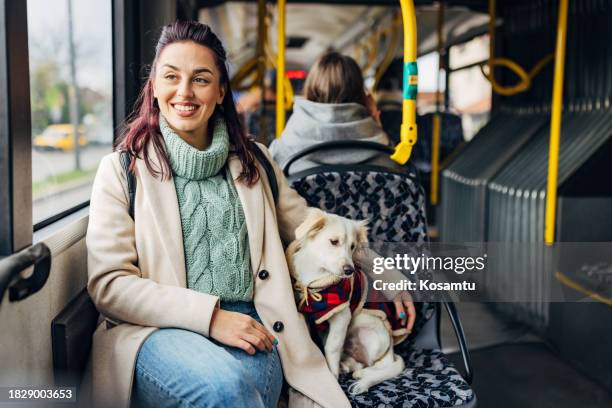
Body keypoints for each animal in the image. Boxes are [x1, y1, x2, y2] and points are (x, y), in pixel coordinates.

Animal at [284, 209, 408, 394]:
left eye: (352, 247)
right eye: (334, 242)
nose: (350, 270)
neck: (317, 277)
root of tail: (392, 350)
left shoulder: (342, 316)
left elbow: (332, 347)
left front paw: (332, 375)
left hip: (367, 330)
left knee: (377, 364)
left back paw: (362, 373)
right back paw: (348, 366)